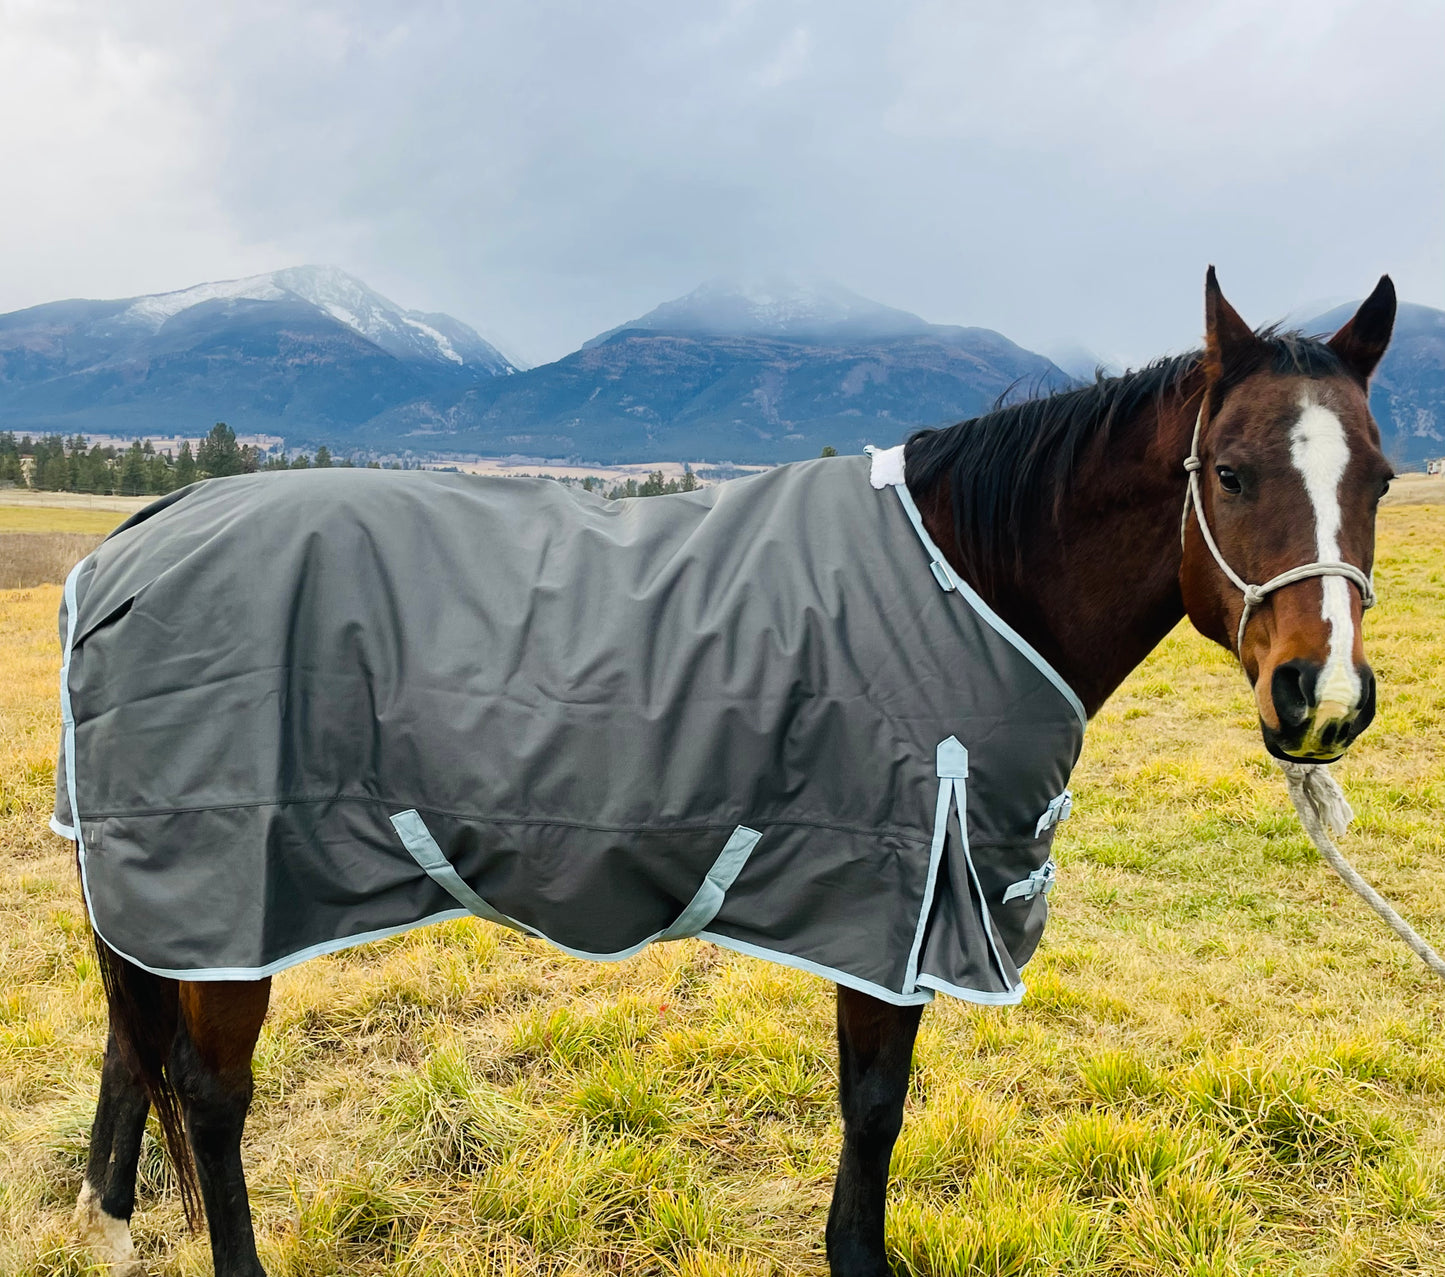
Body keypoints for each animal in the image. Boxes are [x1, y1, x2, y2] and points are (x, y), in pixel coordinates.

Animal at [70, 267, 1398, 1265]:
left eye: (1379, 478)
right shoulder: (897, 899)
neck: (967, 576)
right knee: (208, 1092)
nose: (1321, 698)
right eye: (1229, 471)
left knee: (131, 1063)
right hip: (231, 901)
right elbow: (874, 1105)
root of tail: (136, 539)